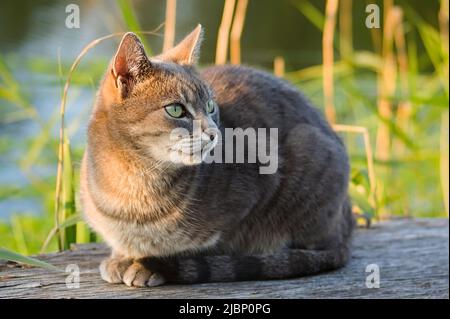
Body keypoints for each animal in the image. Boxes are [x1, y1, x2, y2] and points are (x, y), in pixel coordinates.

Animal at [81, 25, 356, 288]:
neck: (133, 179)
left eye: (211, 107)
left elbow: (205, 245)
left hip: (308, 151)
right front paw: (121, 257)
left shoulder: (252, 194)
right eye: (176, 109)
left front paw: (149, 264)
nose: (214, 133)